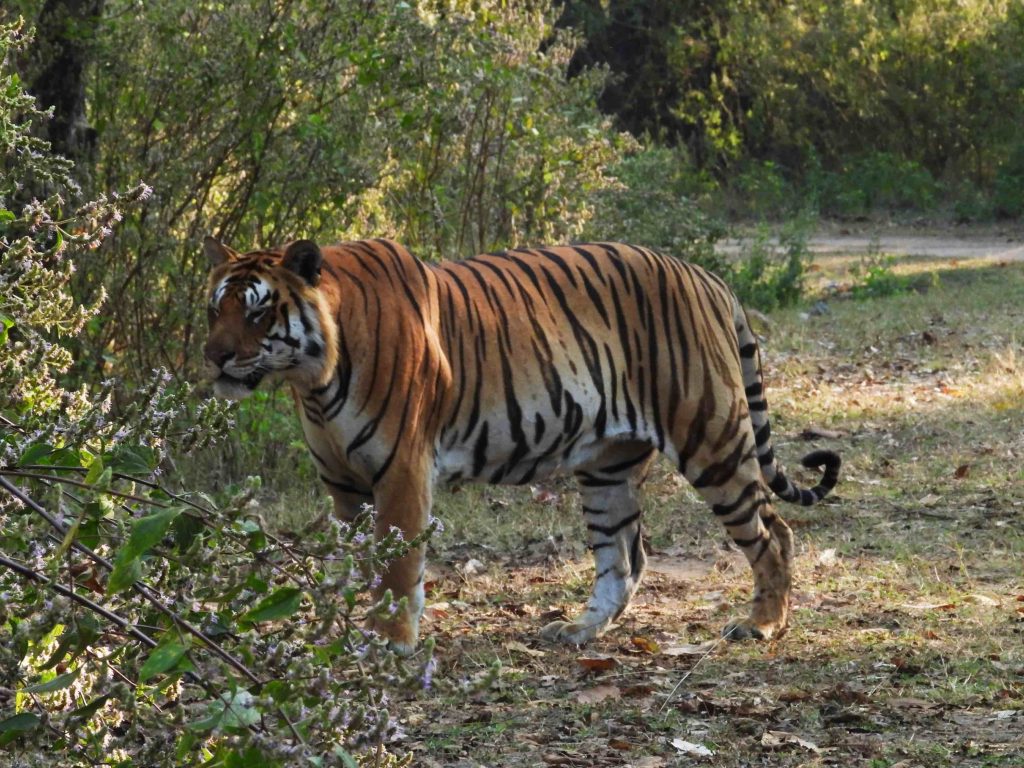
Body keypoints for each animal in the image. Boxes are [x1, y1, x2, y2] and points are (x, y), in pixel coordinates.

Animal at [199, 236, 839, 655]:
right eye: (214, 308)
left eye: (258, 311)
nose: (215, 356)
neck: (312, 380)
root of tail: (706, 277)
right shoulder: (342, 487)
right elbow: (348, 569)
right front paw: (335, 634)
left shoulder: (400, 472)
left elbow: (399, 567)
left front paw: (389, 643)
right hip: (607, 468)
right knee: (624, 557)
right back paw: (577, 631)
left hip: (711, 437)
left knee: (773, 534)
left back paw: (763, 624)